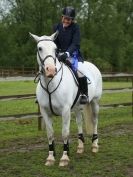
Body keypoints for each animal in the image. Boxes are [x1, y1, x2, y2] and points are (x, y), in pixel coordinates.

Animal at [29, 31, 102, 166]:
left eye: (55, 49)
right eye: (39, 48)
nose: (51, 70)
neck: (50, 83)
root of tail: (93, 65)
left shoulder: (65, 110)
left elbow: (65, 133)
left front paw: (64, 158)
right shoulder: (45, 112)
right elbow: (50, 134)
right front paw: (50, 158)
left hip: (95, 102)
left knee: (95, 121)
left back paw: (94, 146)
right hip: (78, 106)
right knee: (79, 122)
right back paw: (80, 147)